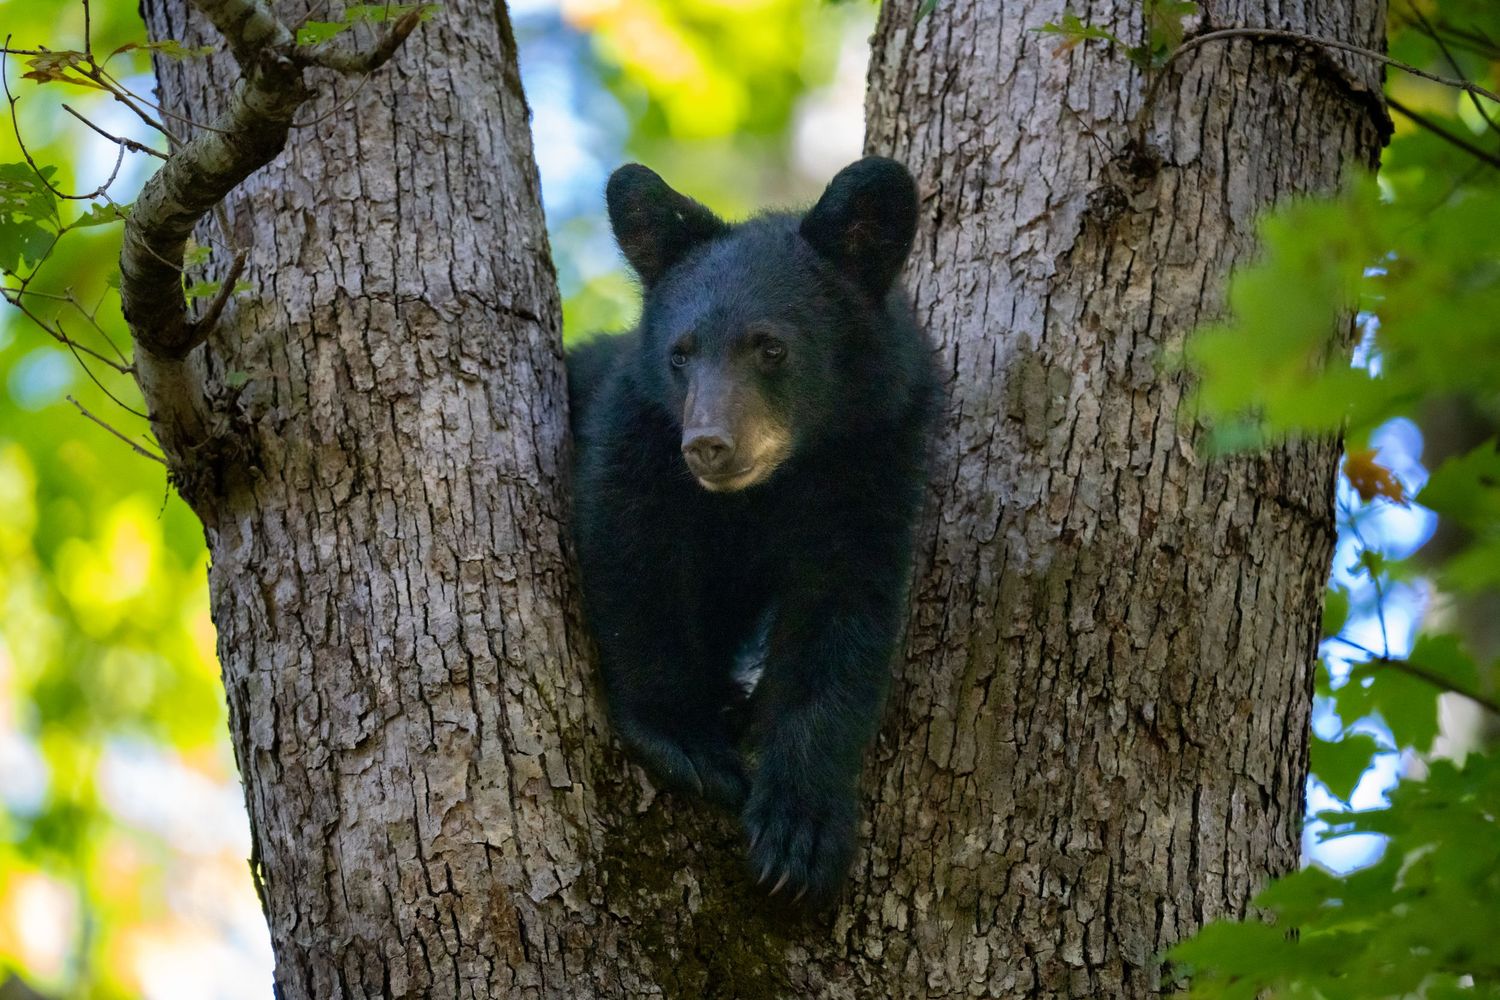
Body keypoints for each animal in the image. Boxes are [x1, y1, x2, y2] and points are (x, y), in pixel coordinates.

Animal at [568, 157, 938, 905]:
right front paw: (688, 739)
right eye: (680, 355)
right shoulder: (636, 430)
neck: (768, 490)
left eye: (770, 348)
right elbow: (632, 559)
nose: (708, 444)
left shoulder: (873, 463)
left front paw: (801, 829)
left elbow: (842, 617)